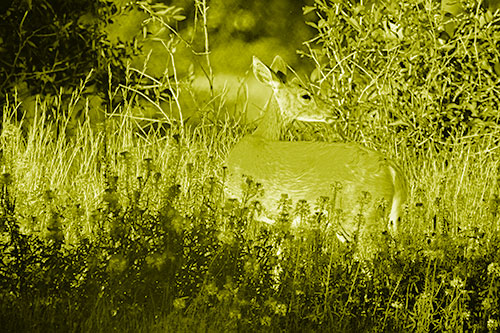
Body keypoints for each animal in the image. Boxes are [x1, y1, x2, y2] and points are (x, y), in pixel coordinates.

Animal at [225, 56, 408, 239]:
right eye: (306, 95)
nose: (335, 111)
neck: (259, 136)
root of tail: (393, 171)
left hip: (360, 216)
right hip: (392, 219)